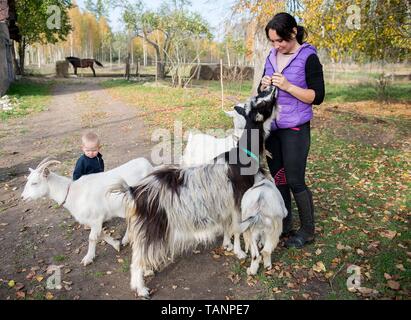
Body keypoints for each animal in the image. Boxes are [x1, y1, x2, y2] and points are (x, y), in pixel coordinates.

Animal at [21, 157, 153, 264]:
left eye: (34, 183)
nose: (22, 197)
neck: (73, 193)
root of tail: (149, 165)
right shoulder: (93, 221)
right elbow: (100, 234)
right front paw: (116, 244)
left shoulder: (96, 218)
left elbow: (92, 238)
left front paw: (88, 258)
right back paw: (126, 239)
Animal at [114, 85, 278, 298]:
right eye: (262, 103)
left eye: (260, 97)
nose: (273, 87)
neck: (243, 155)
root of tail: (134, 191)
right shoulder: (238, 201)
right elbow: (237, 228)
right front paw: (240, 253)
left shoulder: (226, 204)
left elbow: (228, 227)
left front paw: (227, 245)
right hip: (153, 227)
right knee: (136, 260)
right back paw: (141, 288)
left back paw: (148, 271)